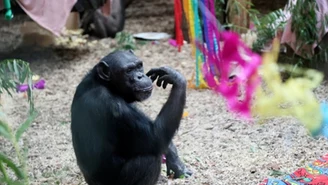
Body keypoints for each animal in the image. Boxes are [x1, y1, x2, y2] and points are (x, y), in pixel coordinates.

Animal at [70, 49, 191, 185]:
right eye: (128, 70)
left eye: (139, 66)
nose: (140, 76)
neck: (107, 85)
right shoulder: (109, 104)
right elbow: (156, 135)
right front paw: (176, 78)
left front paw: (176, 163)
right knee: (149, 159)